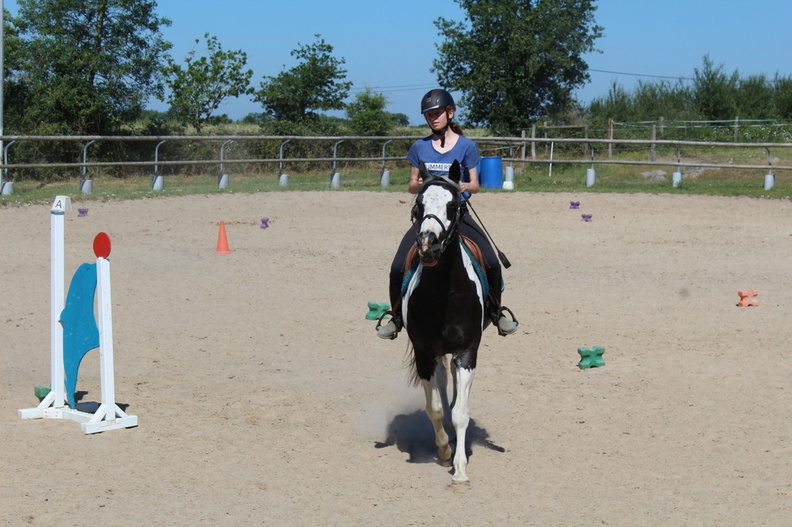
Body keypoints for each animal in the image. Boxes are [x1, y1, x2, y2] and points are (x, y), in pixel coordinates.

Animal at [402, 159, 488, 484]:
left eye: (454, 205)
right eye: (418, 204)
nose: (428, 245)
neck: (444, 292)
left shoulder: (467, 351)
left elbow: (461, 412)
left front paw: (460, 469)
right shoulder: (424, 353)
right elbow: (435, 409)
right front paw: (443, 451)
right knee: (441, 379)